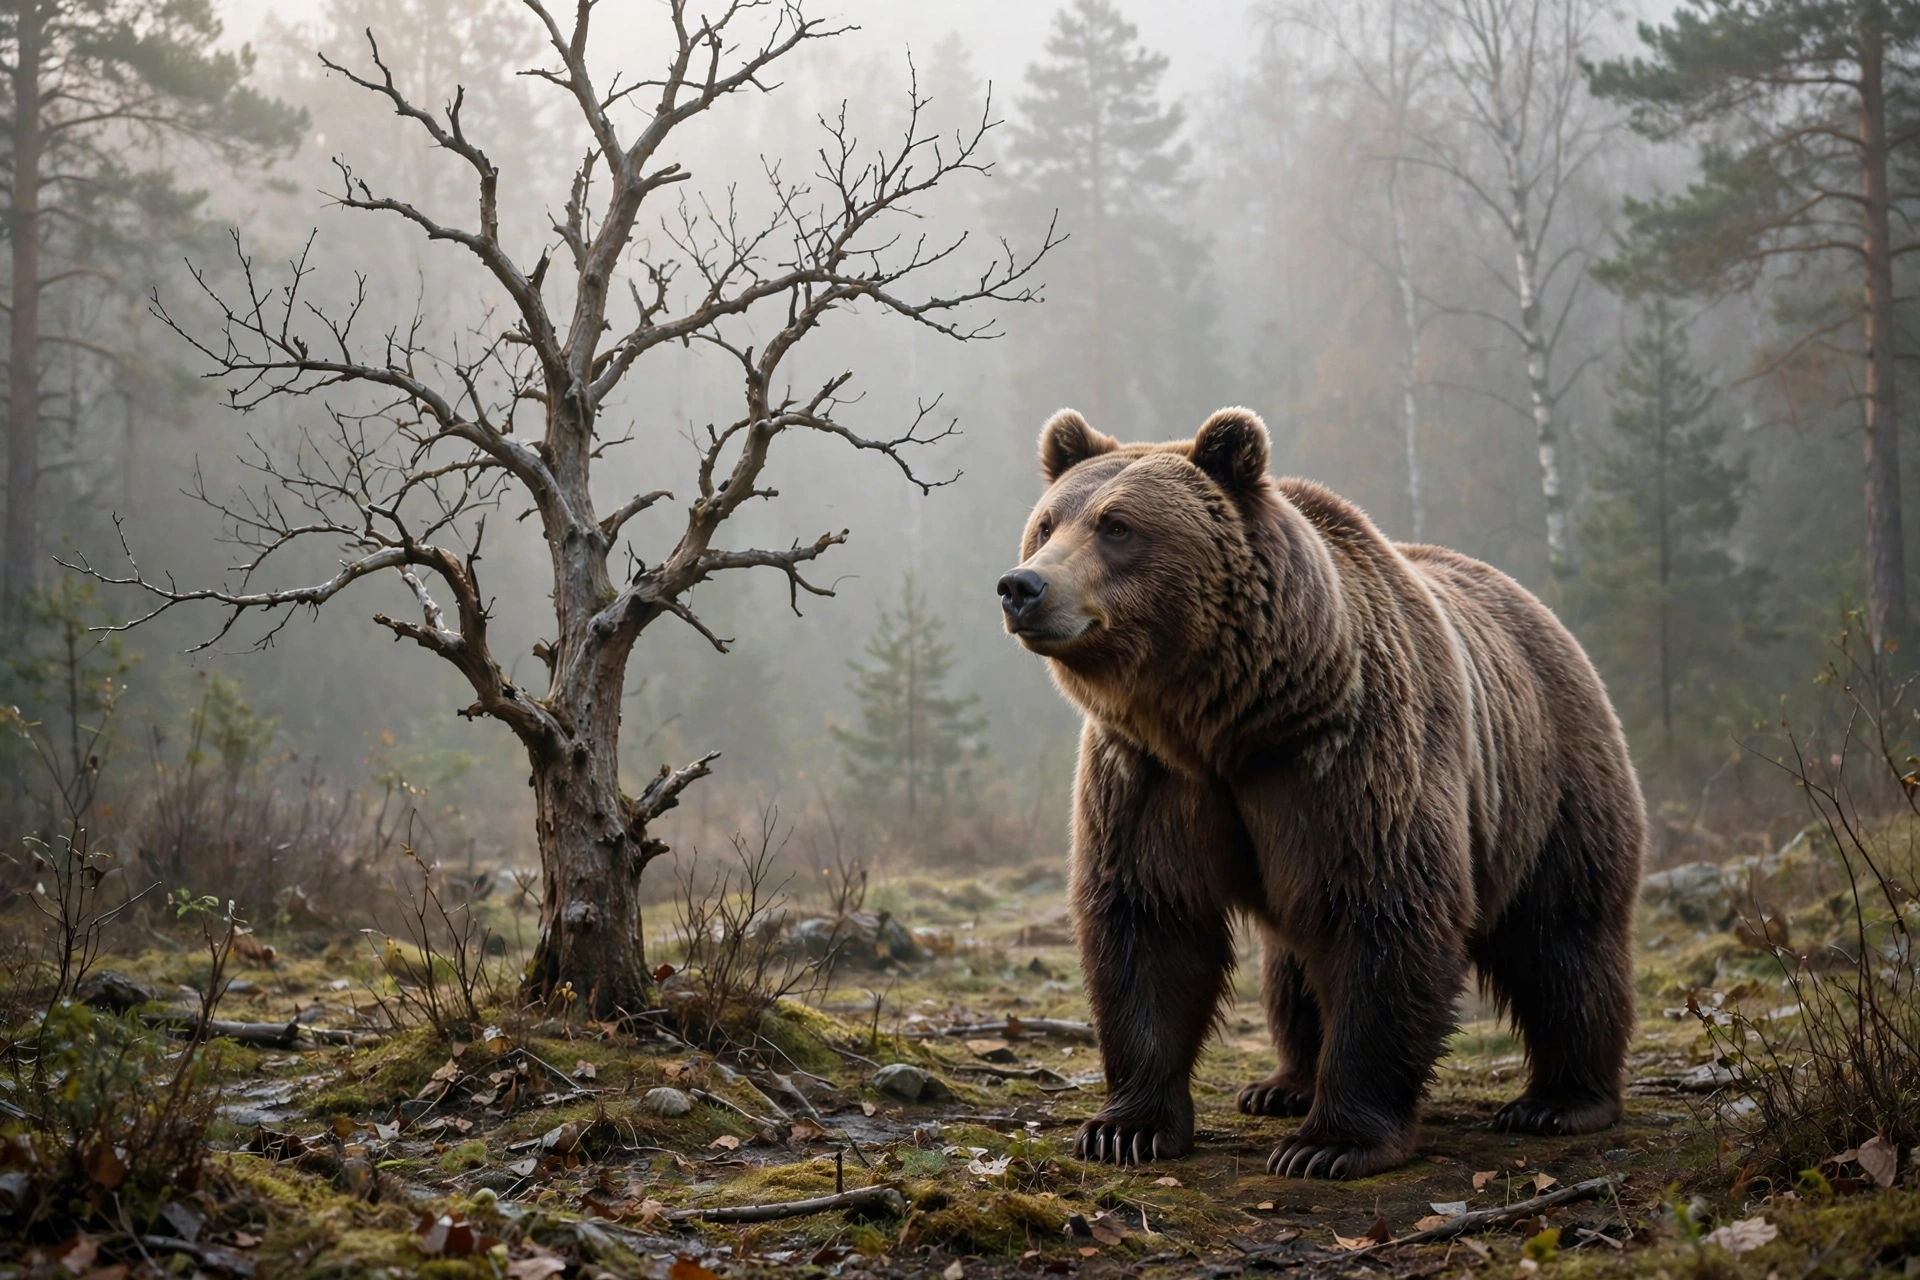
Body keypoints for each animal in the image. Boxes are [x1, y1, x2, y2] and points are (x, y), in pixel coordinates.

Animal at [996, 406, 1645, 1180]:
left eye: (1117, 525)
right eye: (1046, 523)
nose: (1022, 586)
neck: (1226, 721)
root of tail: (1542, 612)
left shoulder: (1349, 755)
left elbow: (1384, 914)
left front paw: (1331, 1143)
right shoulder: (1149, 776)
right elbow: (1149, 919)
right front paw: (1125, 1129)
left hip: (1549, 780)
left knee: (1563, 939)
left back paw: (1560, 1101)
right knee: (1293, 969)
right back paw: (1282, 1085)